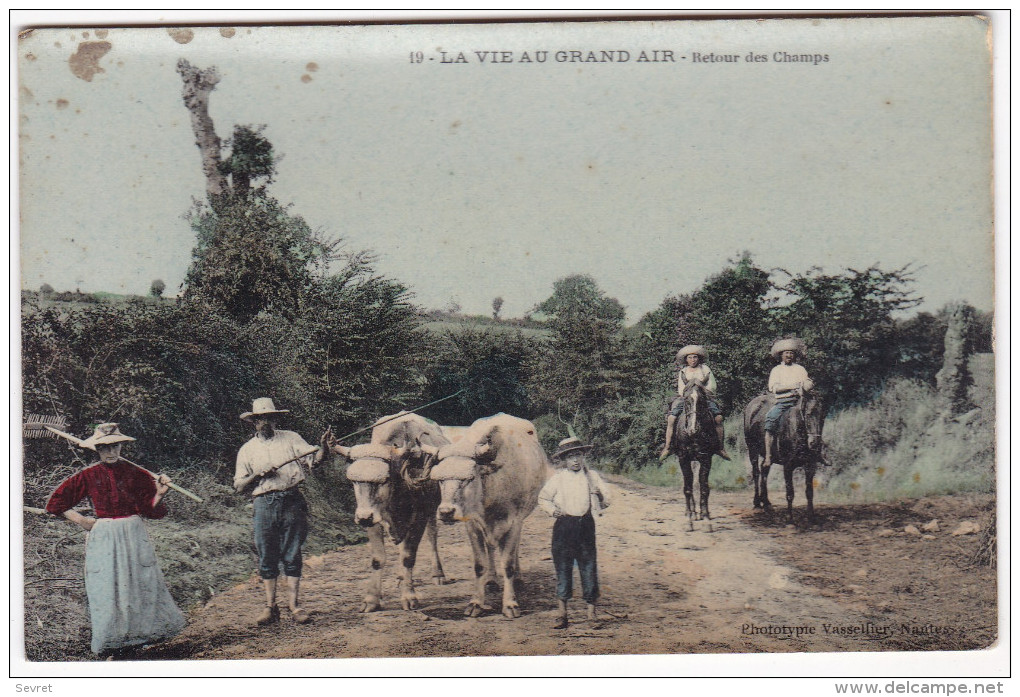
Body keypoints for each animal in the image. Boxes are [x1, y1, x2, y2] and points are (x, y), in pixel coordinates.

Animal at [665, 379, 722, 530]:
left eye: (702, 400)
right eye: (686, 399)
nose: (692, 429)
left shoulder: (706, 459)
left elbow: (704, 487)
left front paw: (706, 518)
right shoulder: (683, 459)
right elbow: (687, 488)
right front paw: (689, 520)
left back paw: (700, 513)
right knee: (689, 482)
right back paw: (691, 513)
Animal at [746, 387, 824, 522]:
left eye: (822, 416)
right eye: (808, 414)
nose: (815, 443)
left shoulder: (810, 465)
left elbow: (809, 492)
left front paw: (811, 517)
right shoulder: (788, 466)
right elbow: (790, 493)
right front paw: (790, 519)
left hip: (769, 456)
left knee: (764, 469)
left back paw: (766, 503)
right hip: (752, 450)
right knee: (756, 472)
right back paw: (757, 504)